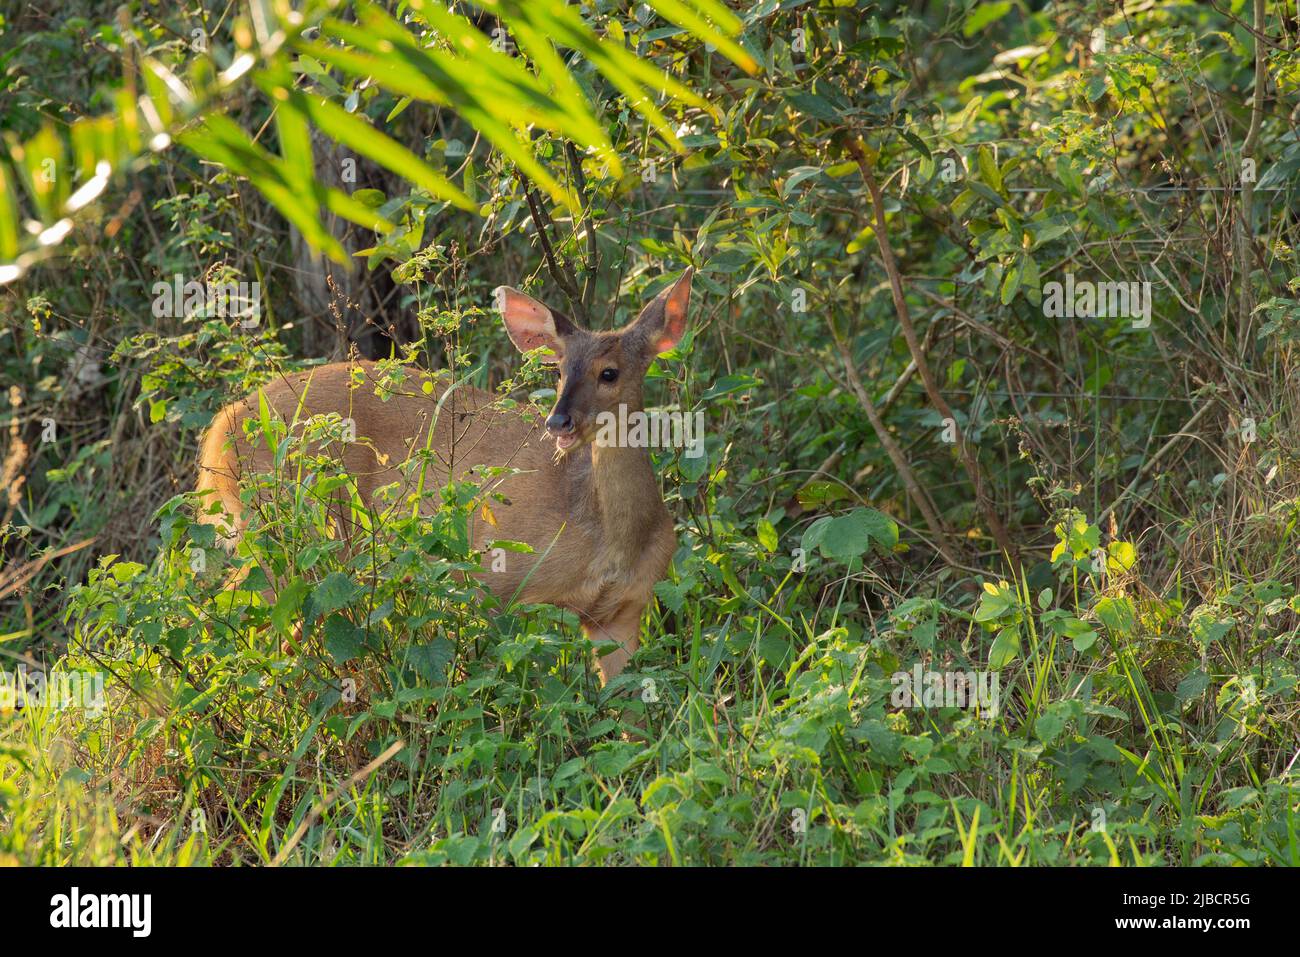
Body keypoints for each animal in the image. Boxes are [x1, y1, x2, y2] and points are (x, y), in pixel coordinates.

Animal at [193, 269, 691, 686]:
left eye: (610, 372)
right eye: (560, 369)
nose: (558, 422)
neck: (607, 534)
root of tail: (222, 428)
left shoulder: (623, 611)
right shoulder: (495, 572)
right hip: (290, 531)